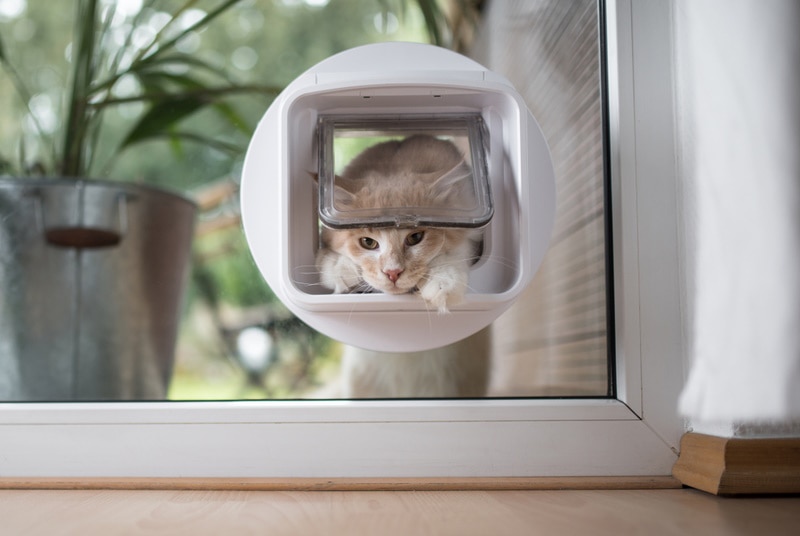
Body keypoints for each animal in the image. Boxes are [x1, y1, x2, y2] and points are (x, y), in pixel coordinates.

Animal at [314, 132, 478, 314]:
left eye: (415, 237)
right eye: (368, 242)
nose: (393, 273)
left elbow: (455, 254)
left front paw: (443, 280)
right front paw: (340, 268)